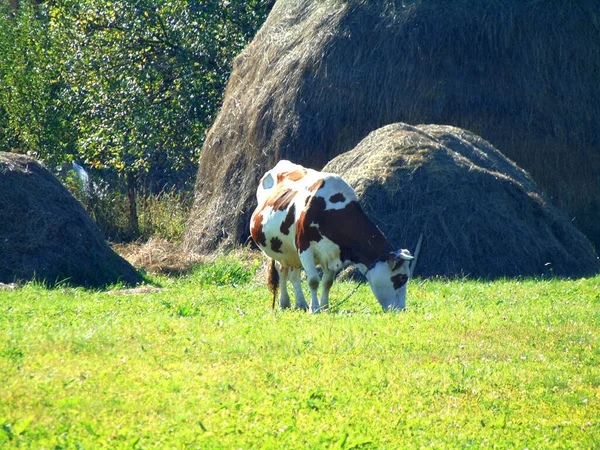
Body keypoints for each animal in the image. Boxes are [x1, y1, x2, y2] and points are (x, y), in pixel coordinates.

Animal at [248, 161, 412, 312]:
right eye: (402, 277)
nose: (402, 309)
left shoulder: (335, 253)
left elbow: (327, 282)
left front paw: (325, 307)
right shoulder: (304, 246)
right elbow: (313, 280)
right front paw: (315, 309)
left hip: (291, 252)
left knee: (293, 274)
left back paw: (301, 304)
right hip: (278, 247)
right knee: (281, 271)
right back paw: (284, 303)